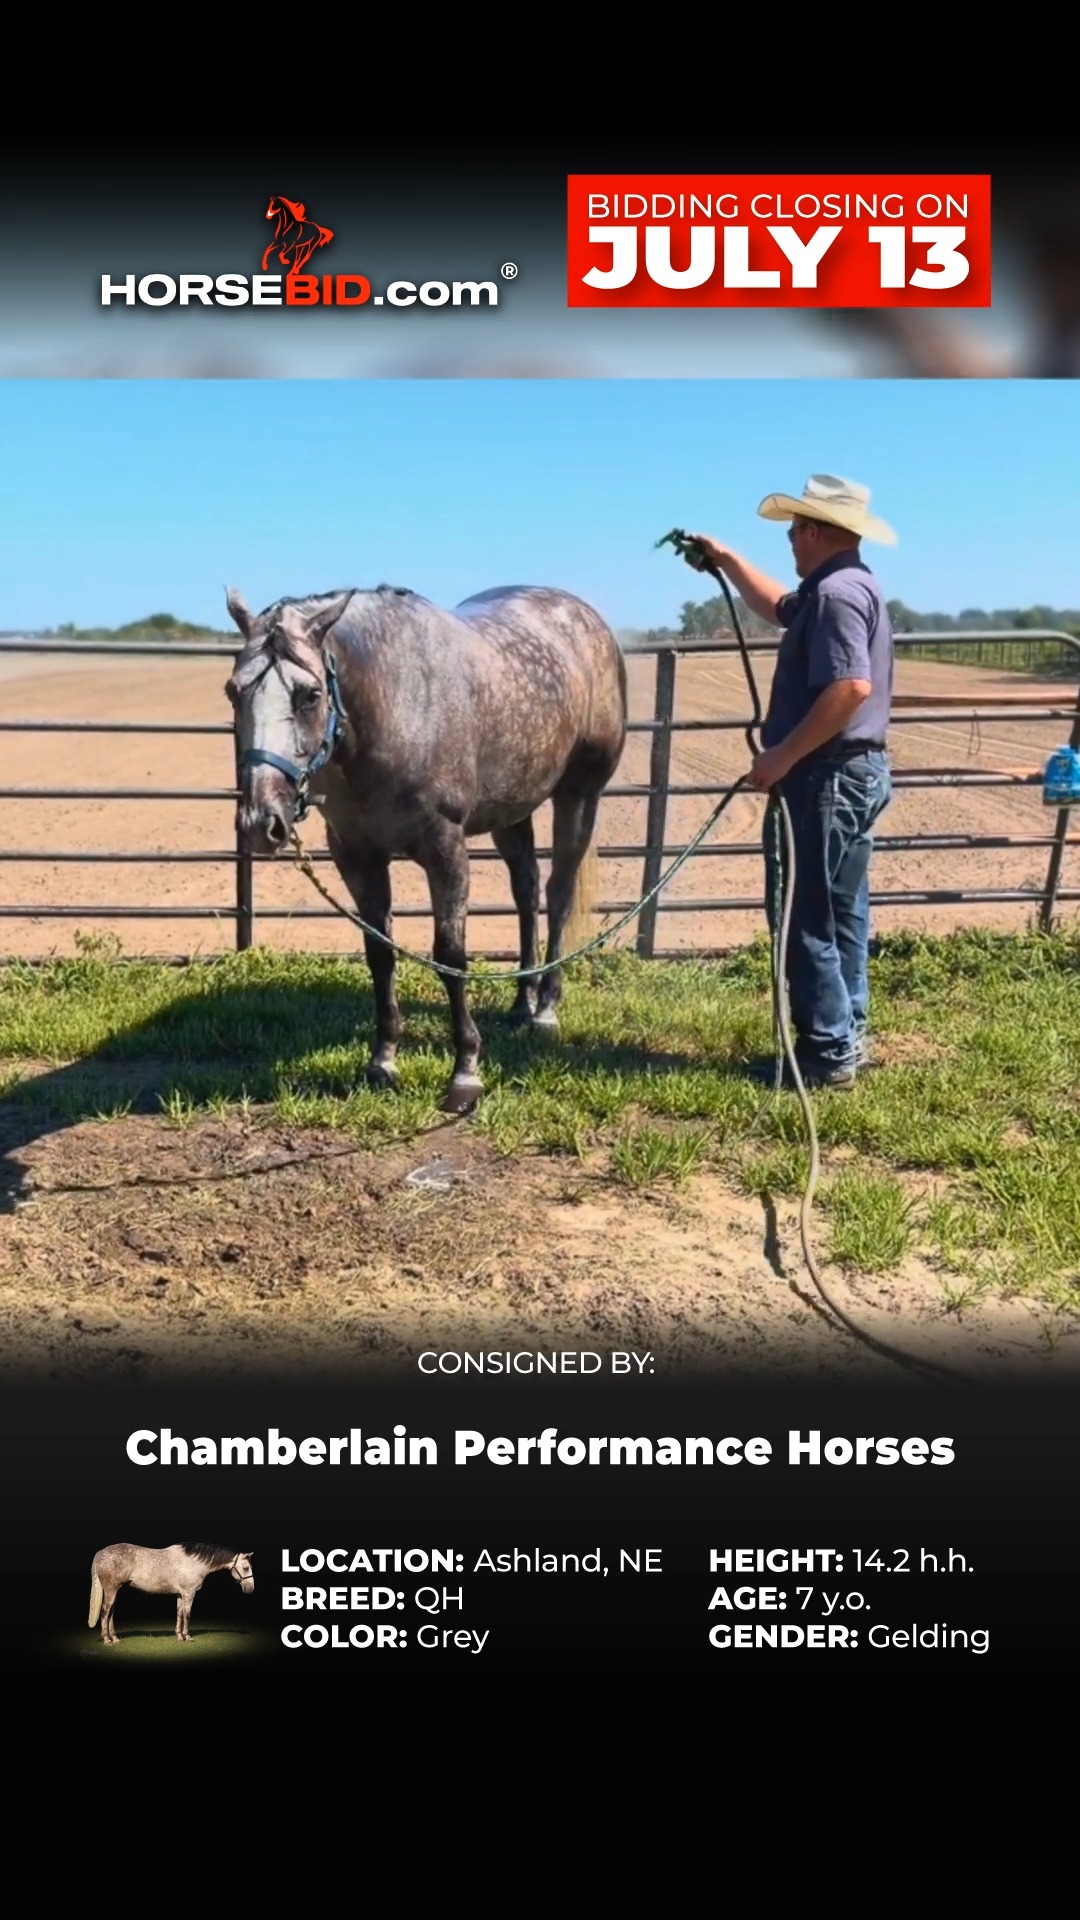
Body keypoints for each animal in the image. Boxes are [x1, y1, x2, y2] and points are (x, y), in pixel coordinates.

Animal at [88, 1542, 255, 1644]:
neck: (195, 1561)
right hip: (111, 1590)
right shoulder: (189, 1593)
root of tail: (101, 1552)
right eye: (246, 1567)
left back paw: (115, 1638)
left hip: (115, 1590)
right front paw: (188, 1637)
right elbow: (187, 1614)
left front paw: (179, 1636)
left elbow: (179, 1613)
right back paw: (107, 1640)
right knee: (105, 1611)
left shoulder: (181, 1594)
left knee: (110, 1613)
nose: (250, 1589)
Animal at [224, 583, 628, 1114]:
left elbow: (450, 956)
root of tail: (585, 617)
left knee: (559, 895)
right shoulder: (357, 856)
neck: (394, 703)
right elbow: (380, 953)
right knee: (527, 892)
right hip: (512, 811)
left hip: (579, 795)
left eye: (310, 694)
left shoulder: (445, 850)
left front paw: (466, 1071)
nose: (260, 822)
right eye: (233, 691)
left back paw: (545, 1010)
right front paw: (383, 1061)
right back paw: (521, 1003)